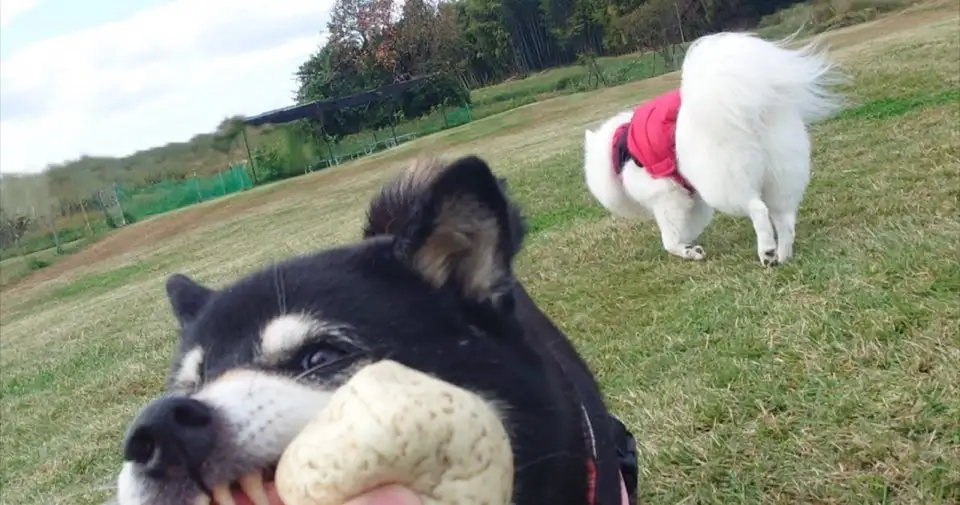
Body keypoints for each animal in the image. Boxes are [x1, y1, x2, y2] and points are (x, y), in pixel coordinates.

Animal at [580, 31, 844, 266]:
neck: (617, 149)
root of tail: (745, 112)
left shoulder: (667, 196)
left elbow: (669, 240)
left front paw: (687, 251)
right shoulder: (692, 198)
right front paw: (690, 247)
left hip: (723, 186)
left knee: (758, 209)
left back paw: (767, 251)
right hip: (781, 175)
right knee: (785, 219)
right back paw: (782, 255)